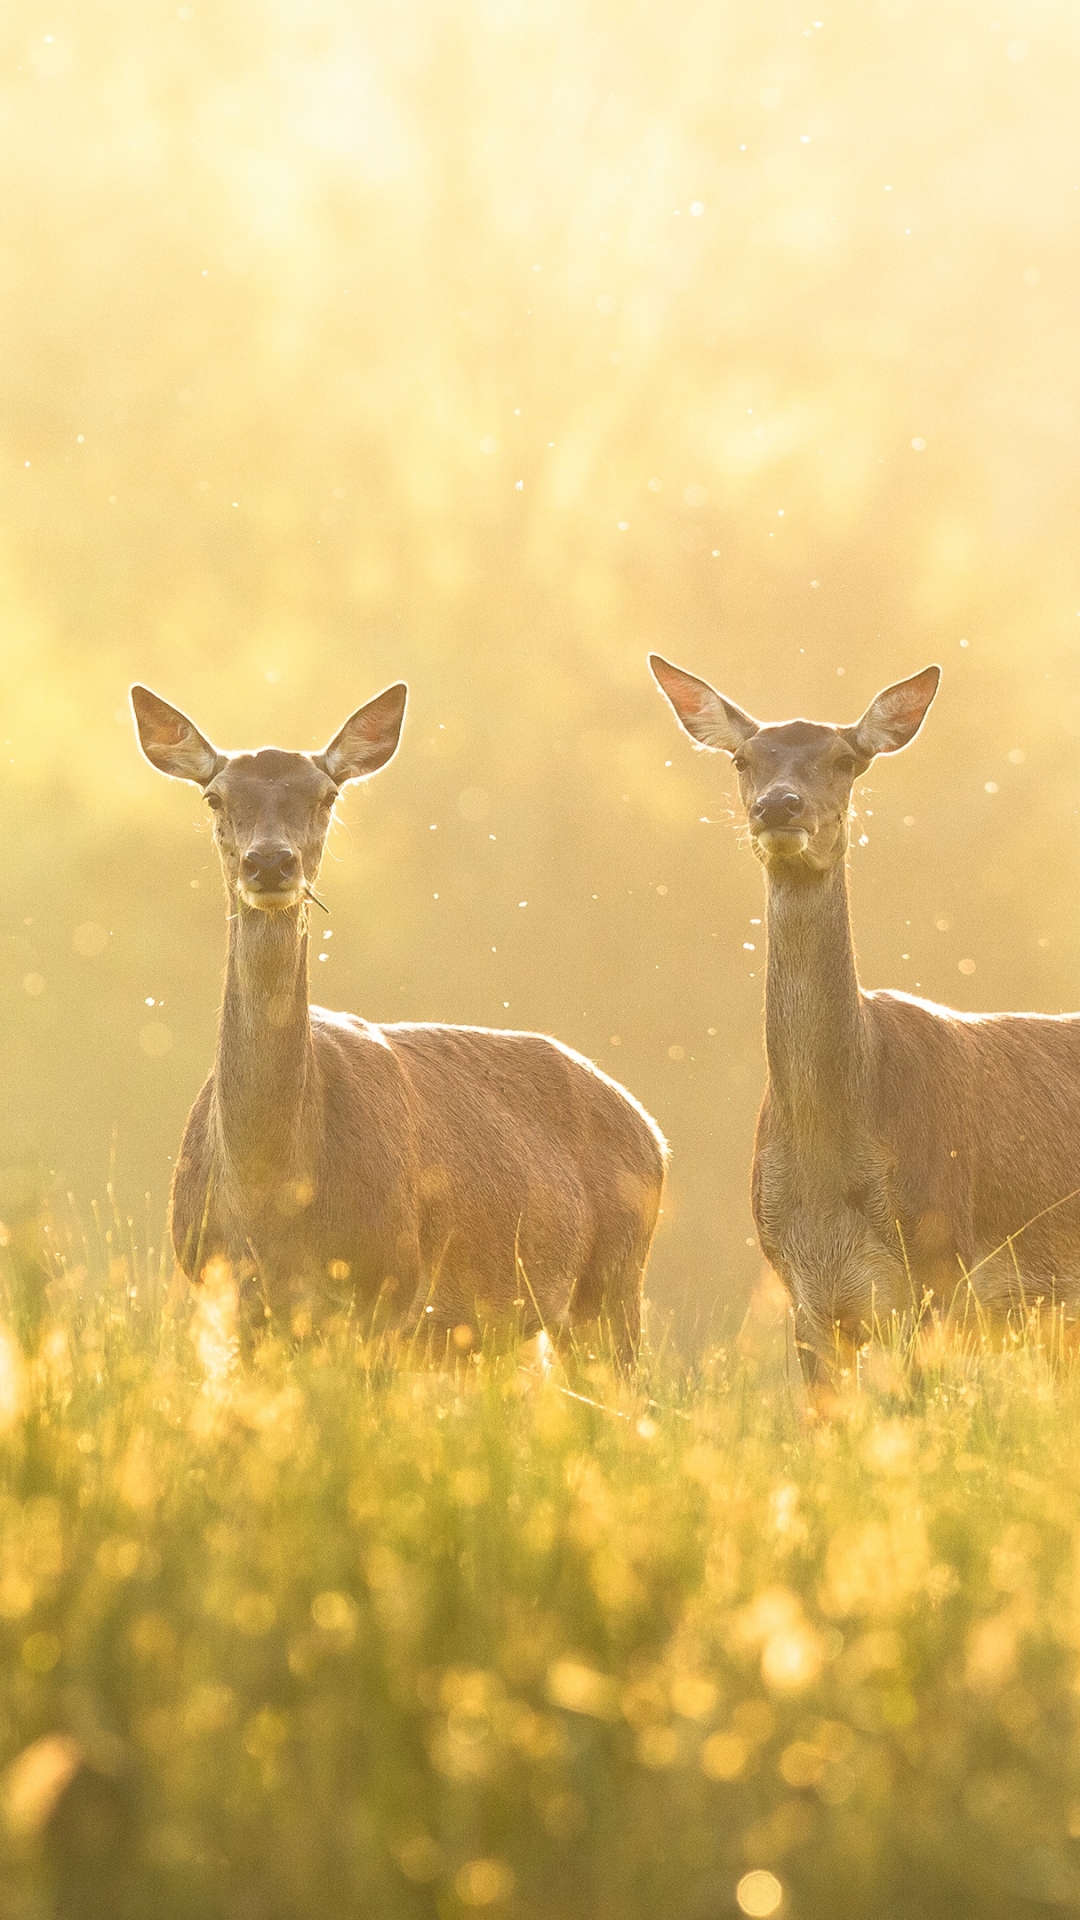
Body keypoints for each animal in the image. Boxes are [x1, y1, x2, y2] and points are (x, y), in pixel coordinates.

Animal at [129, 683, 661, 1359]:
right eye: (215, 796)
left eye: (326, 795)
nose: (270, 863)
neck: (270, 1195)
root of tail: (652, 1131)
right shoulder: (226, 1296)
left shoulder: (389, 1293)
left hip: (615, 1287)